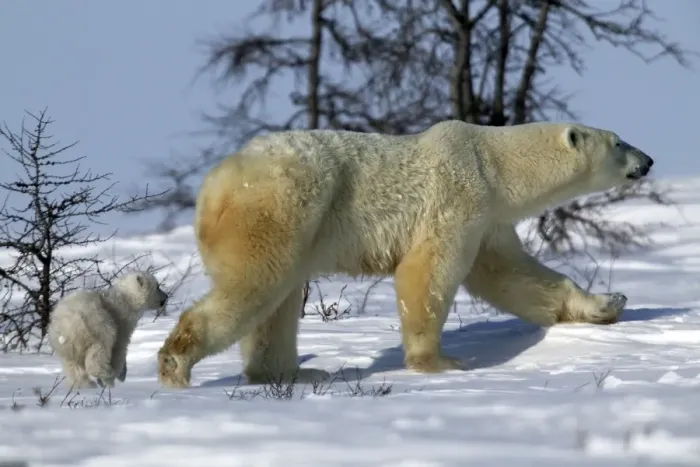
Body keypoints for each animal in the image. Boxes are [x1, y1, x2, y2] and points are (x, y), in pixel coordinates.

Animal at [157, 119, 654, 389]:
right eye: (618, 141)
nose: (647, 161)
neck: (492, 162)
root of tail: (215, 184)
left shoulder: (489, 219)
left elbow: (512, 275)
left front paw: (608, 303)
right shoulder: (458, 197)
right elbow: (429, 271)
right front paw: (440, 363)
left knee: (275, 304)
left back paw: (291, 374)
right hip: (281, 206)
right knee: (256, 284)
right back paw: (177, 363)